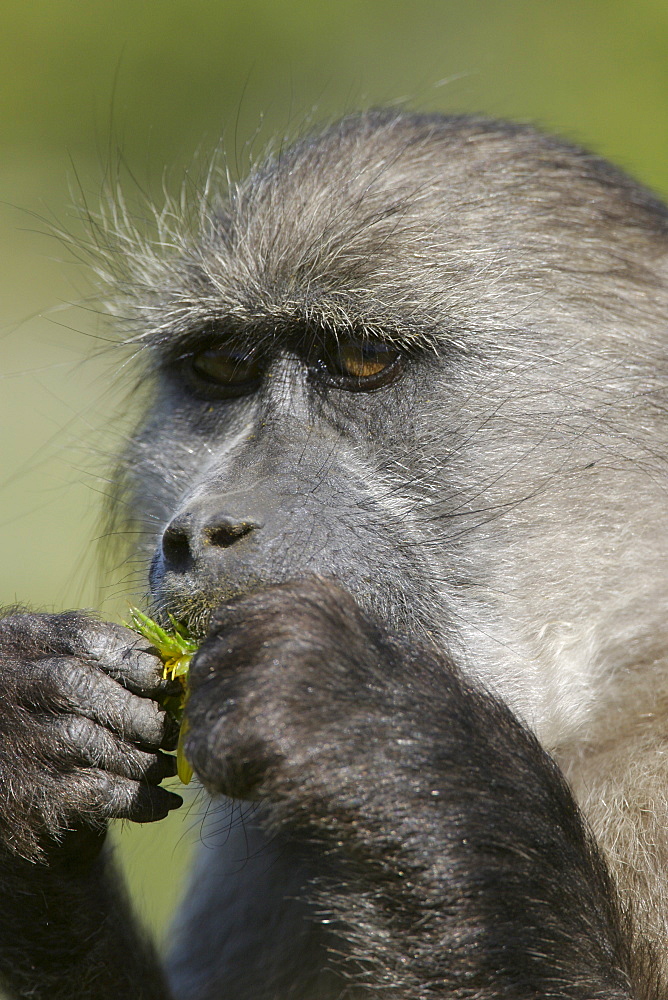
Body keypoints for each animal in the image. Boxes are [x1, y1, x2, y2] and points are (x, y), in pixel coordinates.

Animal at [1, 105, 668, 996]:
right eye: (223, 366)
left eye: (362, 359)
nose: (201, 530)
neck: (600, 707)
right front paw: (26, 736)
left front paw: (387, 738)